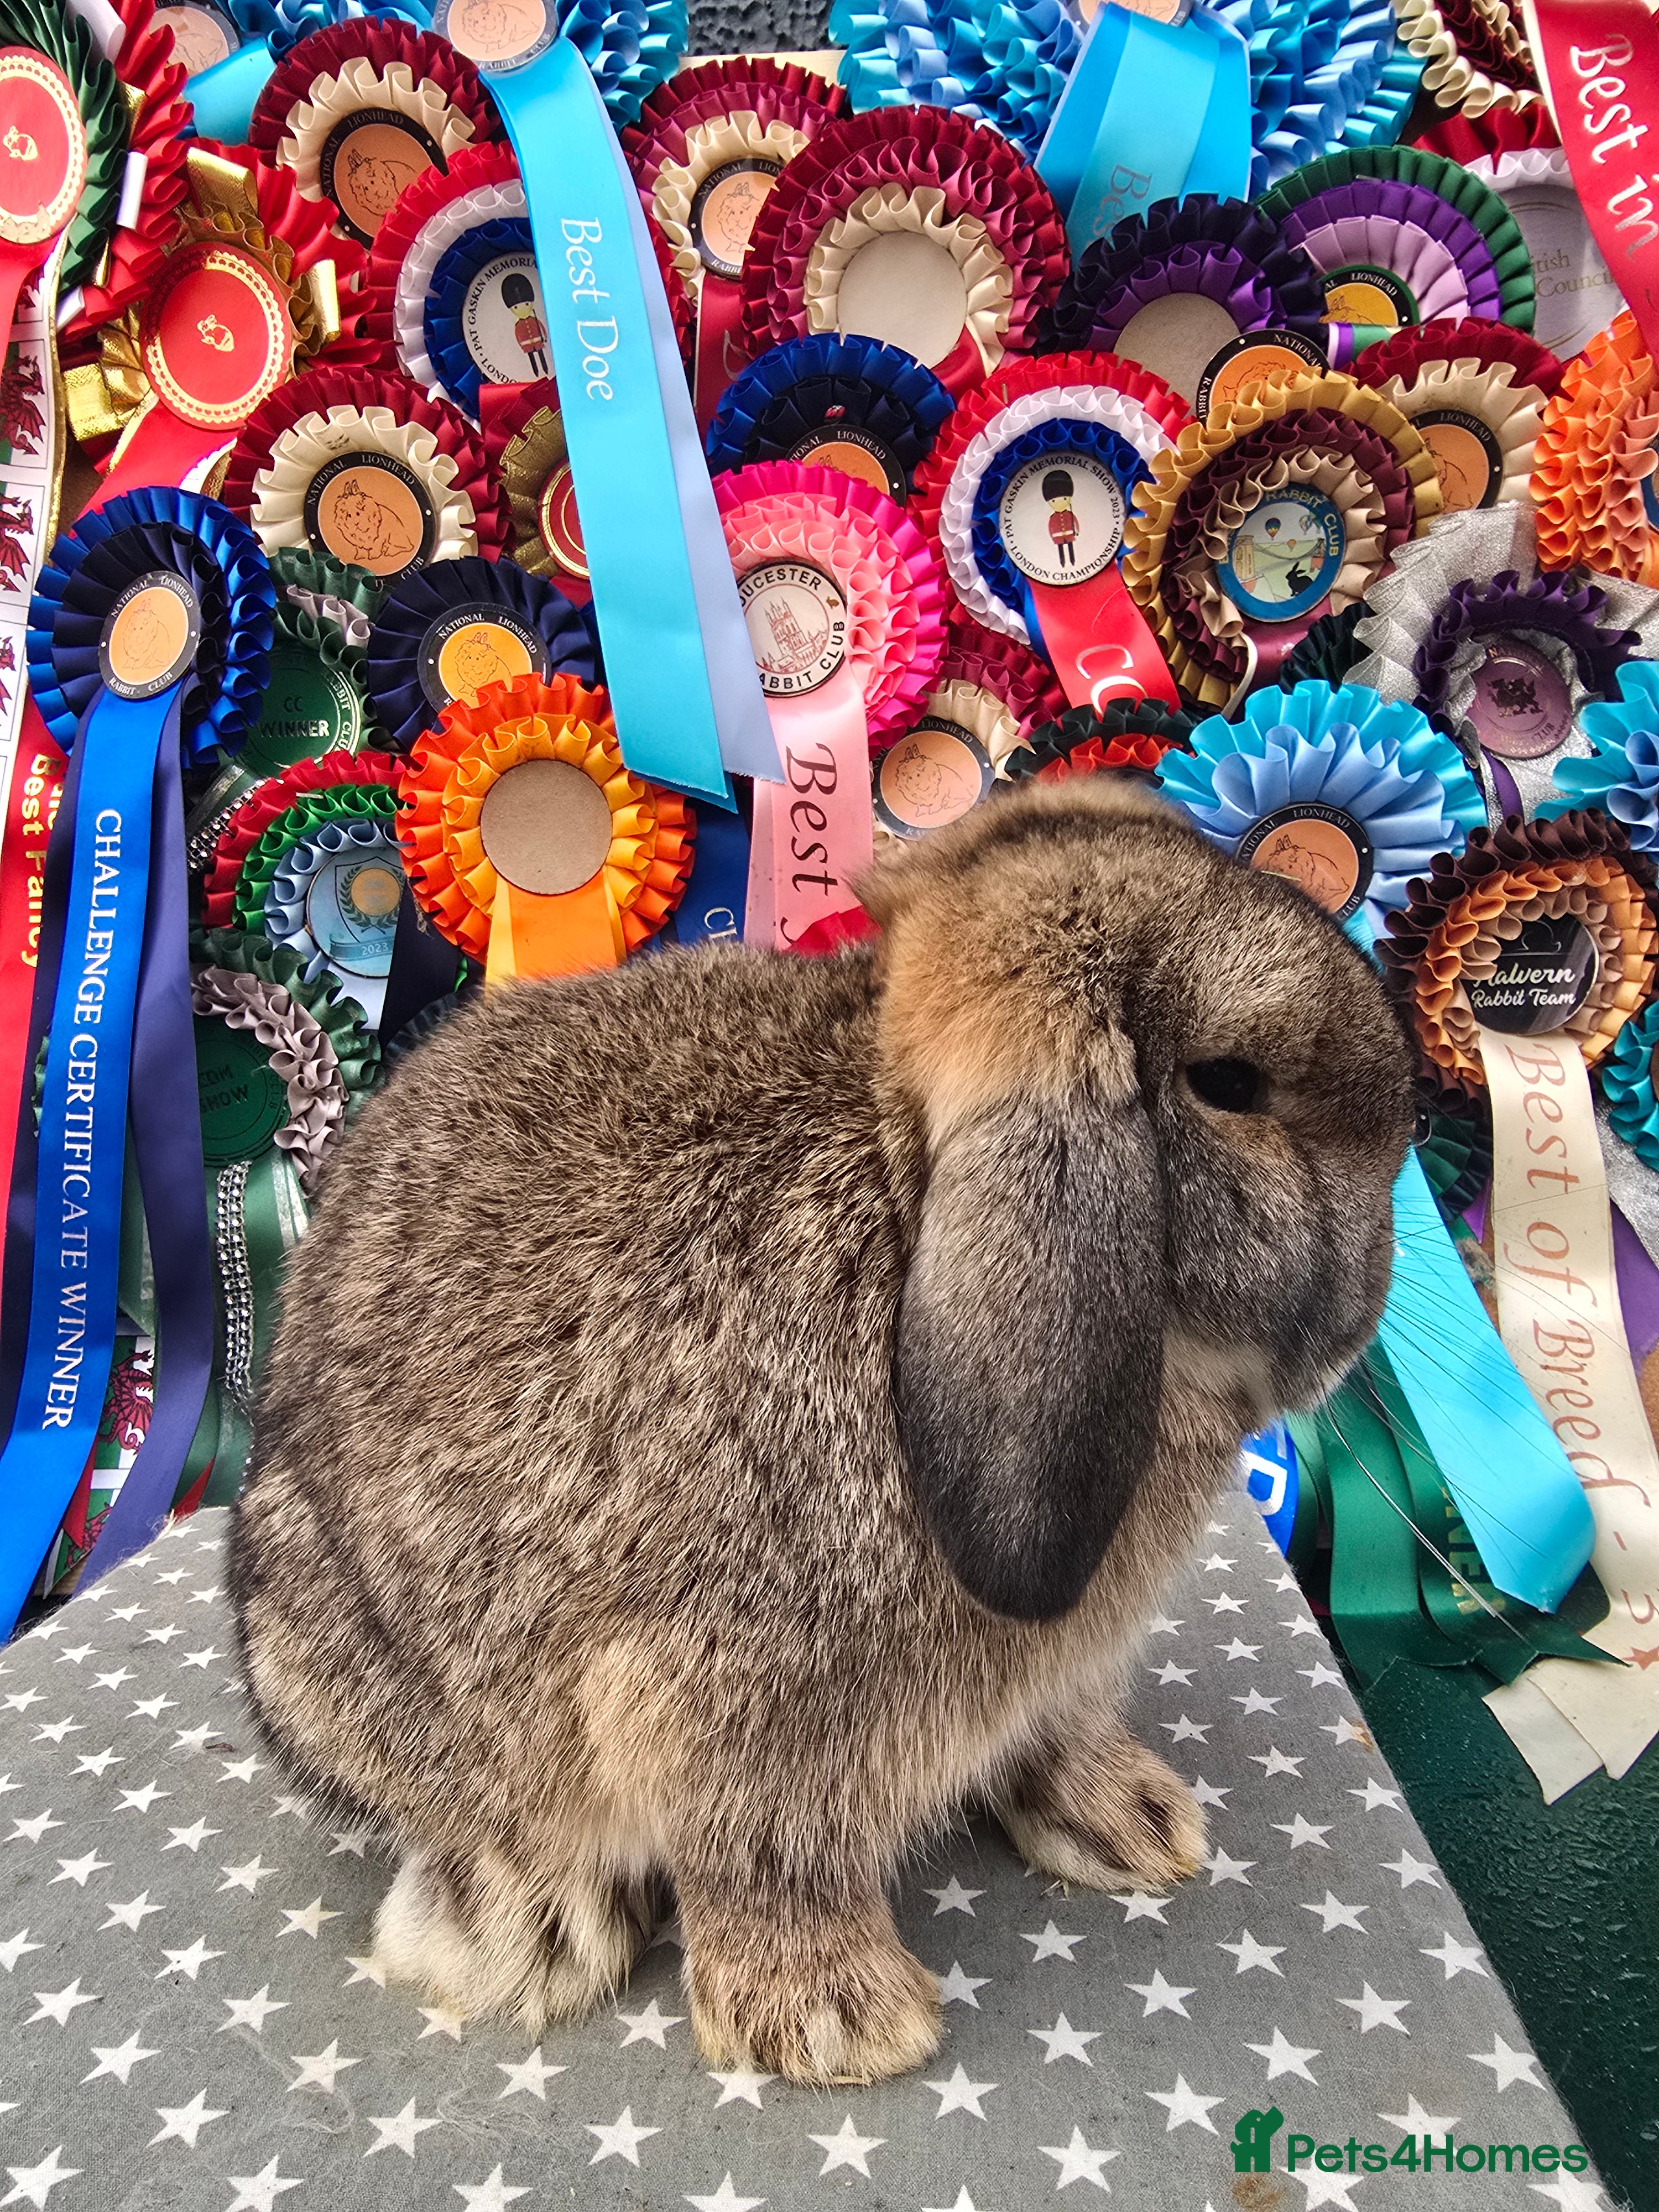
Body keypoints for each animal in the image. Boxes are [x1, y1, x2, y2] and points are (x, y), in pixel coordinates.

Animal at [229, 773, 1413, 2086]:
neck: (898, 1205)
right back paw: (529, 1931)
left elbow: (1056, 1732)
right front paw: (839, 2021)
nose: (1362, 1320)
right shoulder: (727, 1706)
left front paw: (1135, 1822)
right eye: (1231, 1084)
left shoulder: (1055, 1674)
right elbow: (766, 1861)